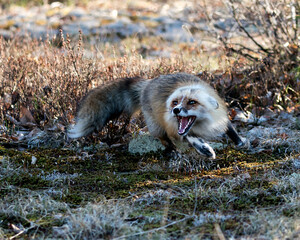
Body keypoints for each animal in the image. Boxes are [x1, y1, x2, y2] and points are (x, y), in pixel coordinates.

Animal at [68, 73, 246, 159]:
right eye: (175, 102)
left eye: (192, 102)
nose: (176, 110)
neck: (203, 124)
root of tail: (148, 82)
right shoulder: (176, 129)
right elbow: (192, 138)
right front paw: (205, 150)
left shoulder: (221, 117)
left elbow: (230, 129)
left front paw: (240, 142)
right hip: (156, 126)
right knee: (163, 139)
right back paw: (173, 151)